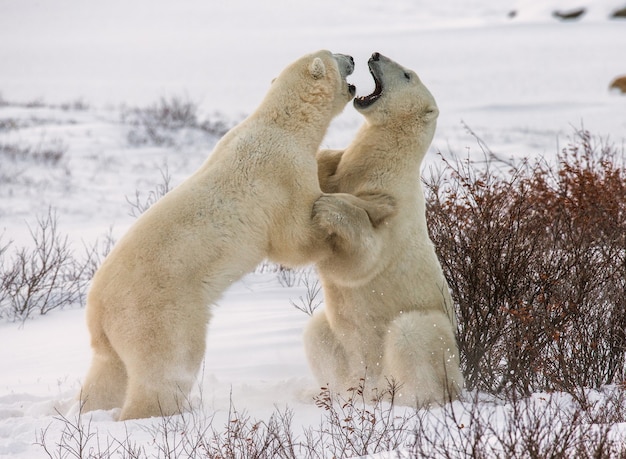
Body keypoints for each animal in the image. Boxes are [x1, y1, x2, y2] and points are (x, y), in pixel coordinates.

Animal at [78, 49, 390, 420]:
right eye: (332, 55)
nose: (352, 55)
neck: (284, 124)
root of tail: (99, 309)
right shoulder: (283, 172)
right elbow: (292, 240)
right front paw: (333, 223)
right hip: (158, 312)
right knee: (169, 364)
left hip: (114, 333)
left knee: (107, 372)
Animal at [304, 52, 460, 408]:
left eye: (406, 75)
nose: (375, 54)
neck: (384, 166)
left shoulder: (394, 209)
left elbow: (361, 259)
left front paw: (328, 207)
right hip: (340, 346)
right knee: (317, 331)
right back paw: (333, 393)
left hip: (433, 340)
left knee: (410, 334)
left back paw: (406, 398)